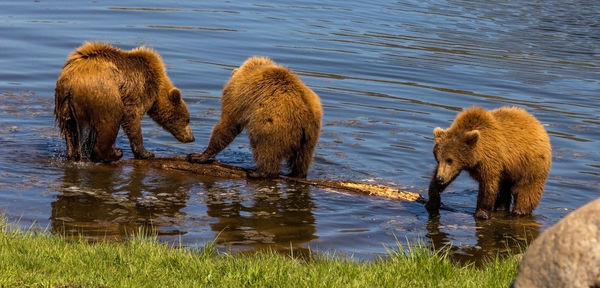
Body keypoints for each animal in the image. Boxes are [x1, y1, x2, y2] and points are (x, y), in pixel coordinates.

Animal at [54, 42, 195, 162]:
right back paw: (115, 153)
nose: (192, 138)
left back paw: (74, 154)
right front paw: (146, 153)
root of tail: (72, 82)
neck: (158, 89)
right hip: (105, 94)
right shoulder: (139, 89)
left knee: (69, 129)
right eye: (187, 119)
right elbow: (132, 117)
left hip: (64, 104)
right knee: (110, 120)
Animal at [188, 56, 322, 178]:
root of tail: (305, 114)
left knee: (265, 147)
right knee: (303, 157)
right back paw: (297, 173)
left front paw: (198, 156)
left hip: (272, 124)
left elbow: (228, 124)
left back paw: (258, 172)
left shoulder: (238, 97)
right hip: (310, 136)